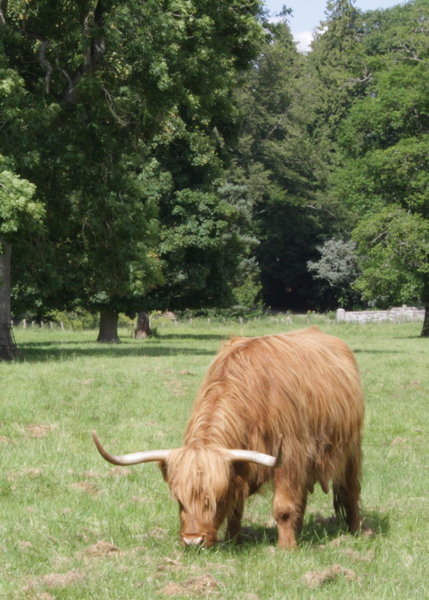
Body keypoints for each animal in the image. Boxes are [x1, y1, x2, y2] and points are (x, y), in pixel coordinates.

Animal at [92, 328, 362, 548]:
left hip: (351, 448)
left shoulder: (290, 457)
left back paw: (356, 531)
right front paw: (233, 540)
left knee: (350, 489)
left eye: (214, 498)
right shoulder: (240, 466)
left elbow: (283, 507)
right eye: (179, 499)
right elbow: (236, 508)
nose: (193, 541)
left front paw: (287, 548)